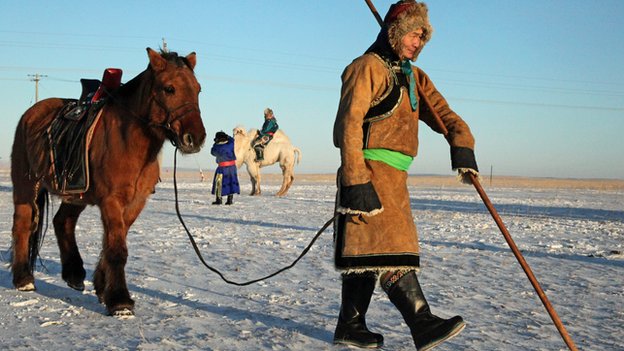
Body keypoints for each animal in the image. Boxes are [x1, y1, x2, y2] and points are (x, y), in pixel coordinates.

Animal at [9, 48, 207, 318]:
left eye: (197, 89)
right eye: (169, 88)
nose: (195, 137)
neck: (129, 141)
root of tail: (31, 114)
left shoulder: (135, 202)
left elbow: (113, 242)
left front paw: (103, 286)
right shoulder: (111, 200)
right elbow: (117, 249)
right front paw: (120, 301)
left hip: (75, 192)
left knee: (63, 222)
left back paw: (74, 274)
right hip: (26, 186)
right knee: (22, 225)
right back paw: (23, 279)